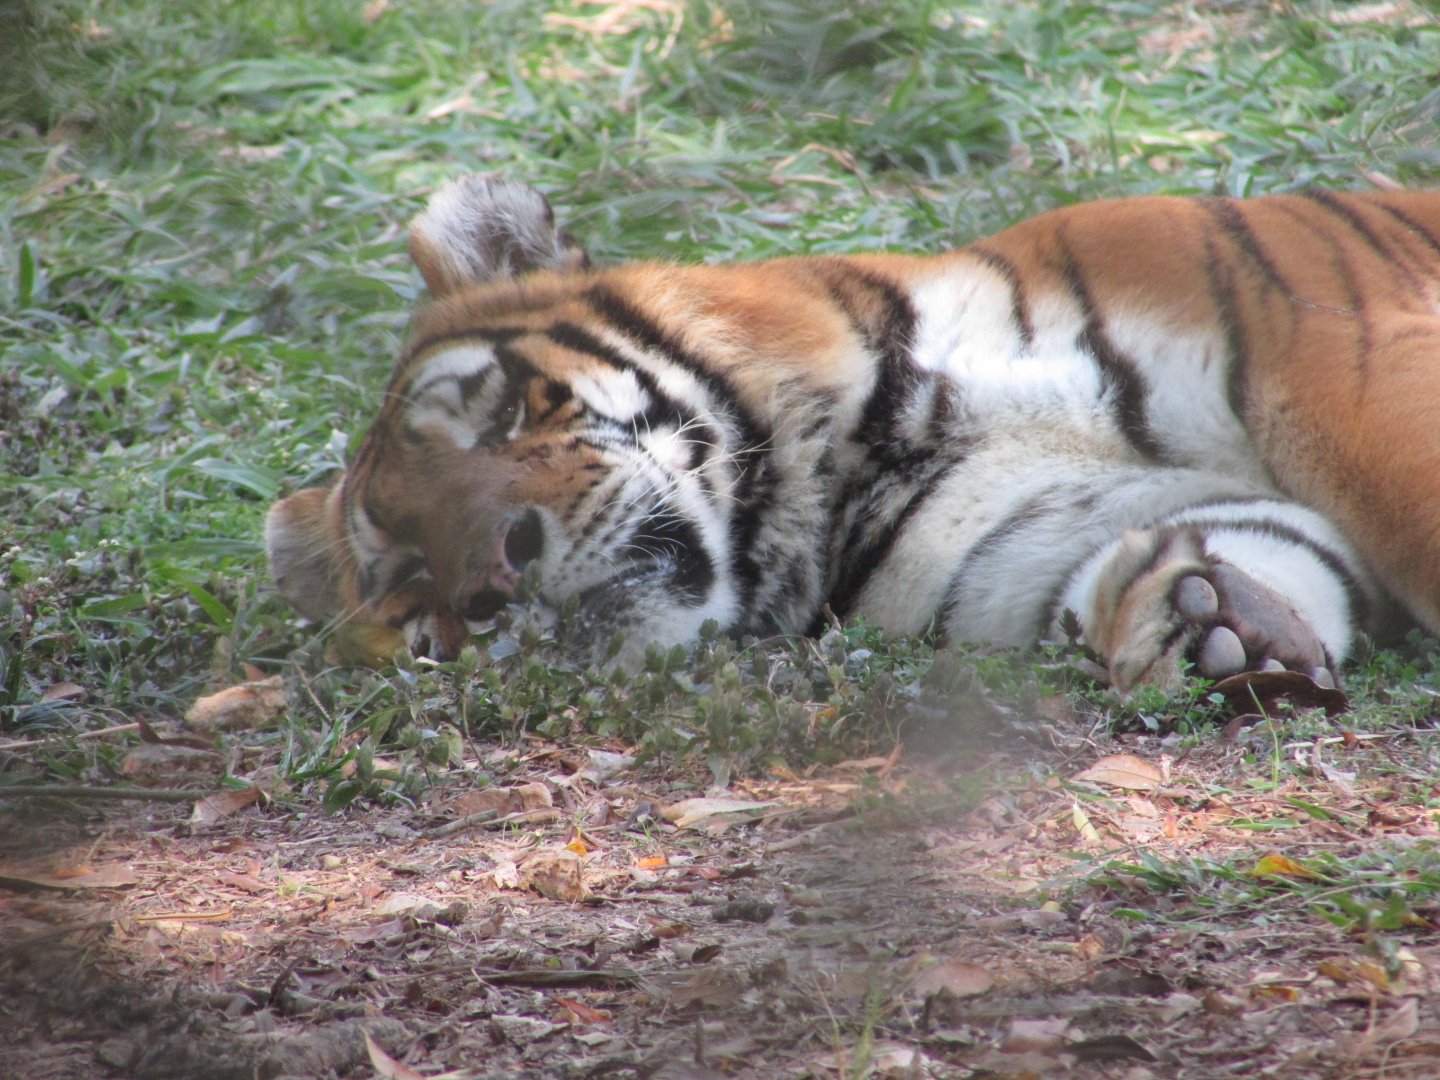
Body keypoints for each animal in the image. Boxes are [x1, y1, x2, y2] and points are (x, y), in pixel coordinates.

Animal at [266, 175, 1440, 693]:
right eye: (410, 581)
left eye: (503, 410)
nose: (492, 578)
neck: (850, 463)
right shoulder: (1034, 537)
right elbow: (1266, 546)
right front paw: (1208, 624)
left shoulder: (1323, 346)